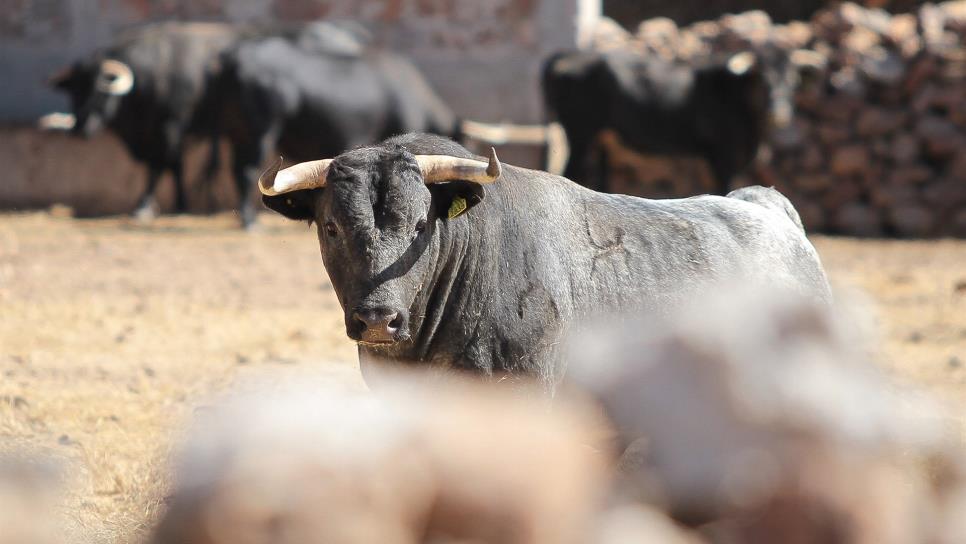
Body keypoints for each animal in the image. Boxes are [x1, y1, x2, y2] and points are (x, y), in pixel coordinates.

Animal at [544, 46, 824, 196]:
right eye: (762, 80)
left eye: (793, 80)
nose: (780, 112)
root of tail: (569, 55)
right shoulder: (720, 156)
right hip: (581, 134)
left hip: (603, 140)